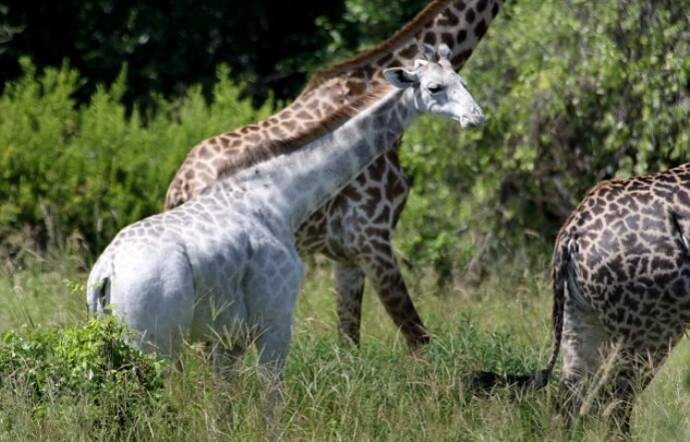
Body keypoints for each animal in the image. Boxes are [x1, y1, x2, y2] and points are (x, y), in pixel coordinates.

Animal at [87, 45, 484, 410]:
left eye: (462, 81)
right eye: (434, 87)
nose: (476, 117)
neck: (282, 197)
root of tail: (104, 273)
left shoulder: (227, 336)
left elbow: (223, 408)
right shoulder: (275, 318)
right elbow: (271, 404)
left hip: (118, 345)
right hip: (153, 342)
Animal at [167, 0, 500, 352]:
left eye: (465, 84)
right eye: (435, 88)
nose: (477, 118)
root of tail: (179, 188)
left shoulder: (345, 254)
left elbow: (349, 342)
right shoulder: (372, 237)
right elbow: (417, 338)